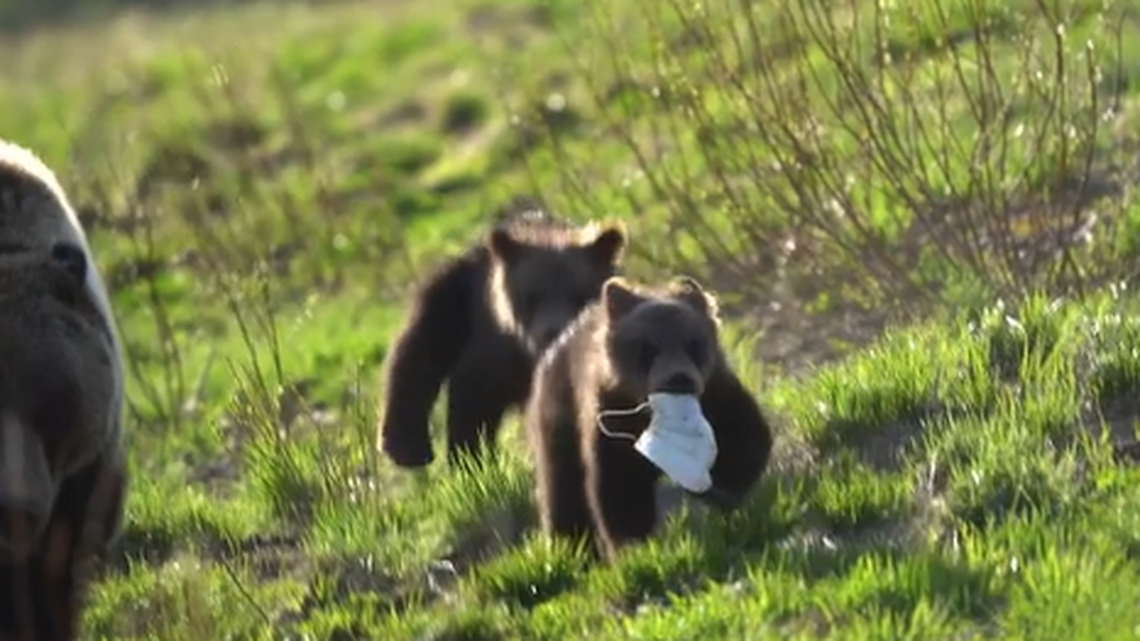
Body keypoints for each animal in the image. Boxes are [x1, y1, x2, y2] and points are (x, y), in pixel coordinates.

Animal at [376, 200, 627, 469]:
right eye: (532, 296)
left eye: (580, 294)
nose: (552, 332)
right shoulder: (496, 350)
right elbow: (473, 400)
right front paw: (469, 461)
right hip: (454, 297)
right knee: (418, 351)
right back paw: (407, 448)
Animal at [523, 275, 774, 562]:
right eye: (648, 348)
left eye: (693, 343)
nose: (679, 378)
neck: (653, 414)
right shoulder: (608, 416)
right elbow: (620, 485)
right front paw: (632, 547)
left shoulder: (717, 394)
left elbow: (746, 440)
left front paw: (719, 490)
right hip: (559, 416)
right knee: (563, 489)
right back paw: (572, 549)